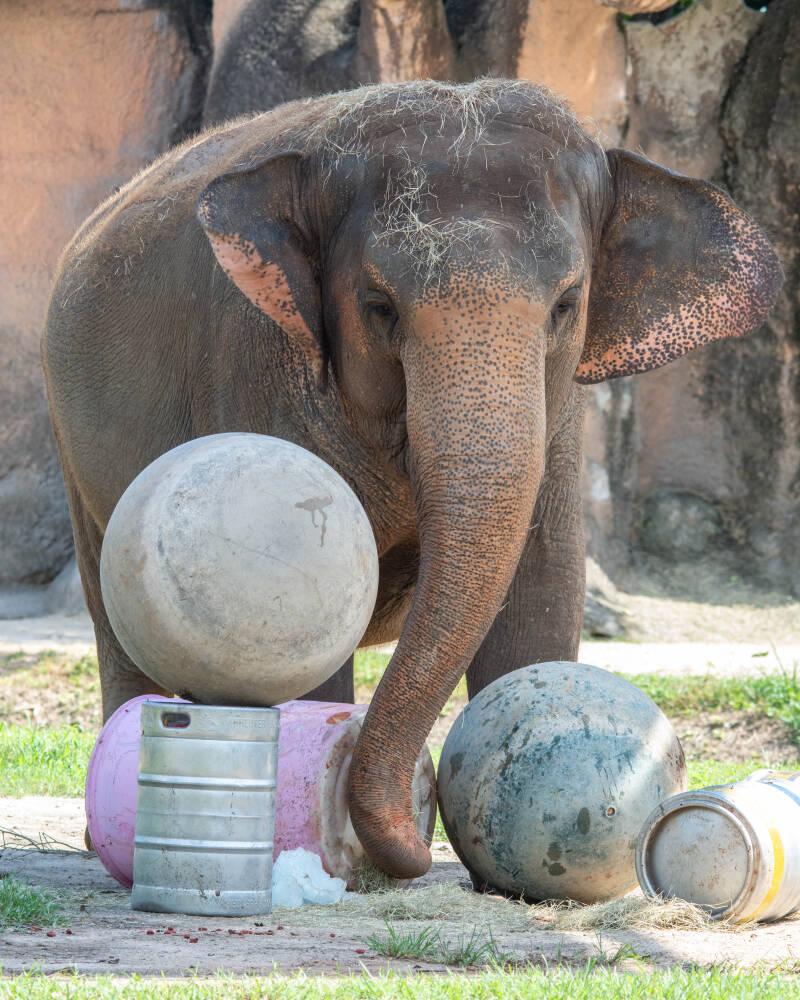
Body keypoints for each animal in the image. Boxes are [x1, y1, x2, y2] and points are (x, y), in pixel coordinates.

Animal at [42, 80, 781, 879]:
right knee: (116, 622)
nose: (421, 845)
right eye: (379, 306)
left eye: (565, 304)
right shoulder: (254, 360)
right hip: (73, 443)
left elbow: (542, 593)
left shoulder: (558, 423)